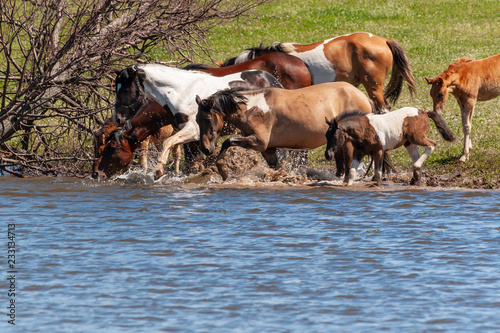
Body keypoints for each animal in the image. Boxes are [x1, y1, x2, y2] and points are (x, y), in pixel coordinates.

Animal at [114, 63, 284, 178]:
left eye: (125, 89)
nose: (118, 118)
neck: (182, 92)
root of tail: (273, 81)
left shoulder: (193, 132)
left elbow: (169, 143)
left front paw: (159, 171)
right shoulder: (192, 138)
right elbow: (191, 161)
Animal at [195, 81, 376, 179]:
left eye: (208, 119)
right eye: (196, 120)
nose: (206, 149)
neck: (252, 108)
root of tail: (363, 96)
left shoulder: (258, 142)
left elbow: (228, 141)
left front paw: (223, 172)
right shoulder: (268, 149)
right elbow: (276, 167)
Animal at [324, 106, 458, 185]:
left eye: (334, 136)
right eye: (326, 136)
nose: (327, 155)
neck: (364, 129)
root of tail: (423, 112)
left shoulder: (378, 151)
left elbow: (378, 174)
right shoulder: (359, 152)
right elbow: (351, 172)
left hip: (416, 137)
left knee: (431, 145)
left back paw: (416, 169)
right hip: (409, 143)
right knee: (417, 156)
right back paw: (416, 178)